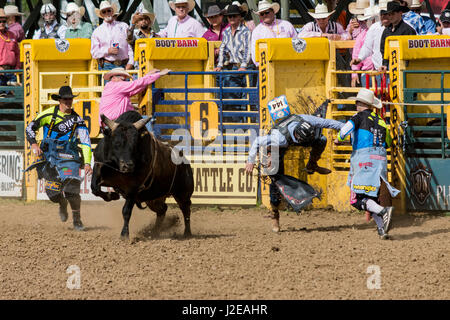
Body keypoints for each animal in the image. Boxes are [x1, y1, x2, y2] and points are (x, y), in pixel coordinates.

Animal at [91, 111, 193, 239]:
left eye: (135, 144)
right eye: (117, 143)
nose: (128, 165)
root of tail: (185, 163)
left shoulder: (133, 187)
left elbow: (126, 211)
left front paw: (124, 234)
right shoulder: (99, 166)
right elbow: (94, 188)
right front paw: (112, 195)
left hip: (182, 193)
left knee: (186, 209)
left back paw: (187, 233)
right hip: (153, 198)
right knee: (162, 210)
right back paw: (154, 231)